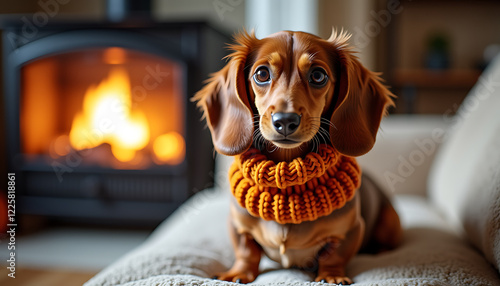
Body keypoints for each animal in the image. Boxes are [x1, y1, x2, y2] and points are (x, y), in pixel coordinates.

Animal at [192, 29, 402, 284]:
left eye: (318, 75)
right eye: (262, 74)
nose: (285, 120)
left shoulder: (352, 229)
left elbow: (335, 255)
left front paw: (331, 276)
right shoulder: (237, 225)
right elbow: (246, 250)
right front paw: (238, 273)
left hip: (390, 221)